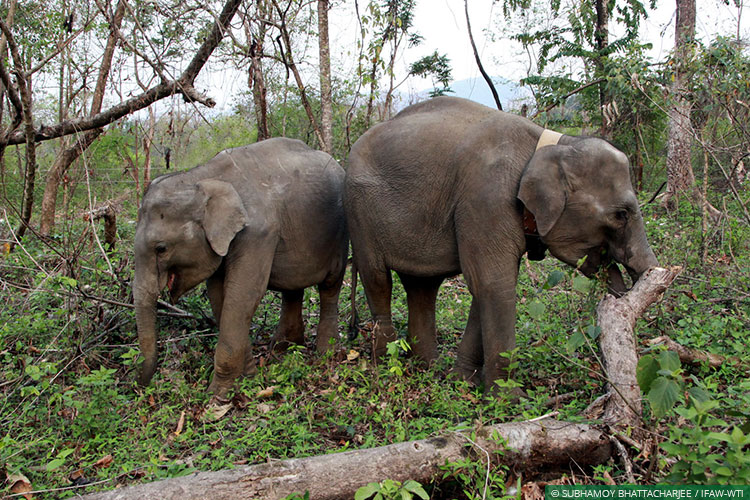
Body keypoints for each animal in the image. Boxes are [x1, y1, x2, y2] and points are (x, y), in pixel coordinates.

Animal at [133, 137, 348, 399]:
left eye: (161, 249)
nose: (141, 387)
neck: (202, 177)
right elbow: (220, 296)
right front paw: (248, 377)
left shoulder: (258, 233)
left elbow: (244, 295)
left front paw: (218, 395)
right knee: (292, 289)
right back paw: (284, 350)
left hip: (339, 234)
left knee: (330, 286)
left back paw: (326, 354)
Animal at [344, 96, 658, 392]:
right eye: (621, 215)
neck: (550, 144)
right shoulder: (486, 200)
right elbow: (494, 285)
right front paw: (507, 399)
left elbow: (485, 290)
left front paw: (463, 383)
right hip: (359, 212)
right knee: (378, 279)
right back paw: (385, 364)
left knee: (422, 287)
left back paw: (428, 369)